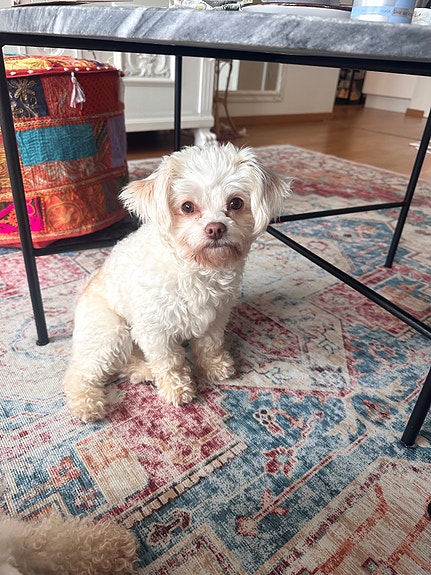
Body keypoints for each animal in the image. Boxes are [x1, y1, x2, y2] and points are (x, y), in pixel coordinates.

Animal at [63, 143, 291, 422]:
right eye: (187, 207)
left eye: (236, 203)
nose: (216, 228)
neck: (196, 270)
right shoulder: (155, 329)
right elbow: (169, 361)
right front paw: (177, 388)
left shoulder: (216, 316)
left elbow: (210, 345)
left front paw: (215, 366)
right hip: (111, 331)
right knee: (80, 371)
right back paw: (87, 404)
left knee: (125, 361)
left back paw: (144, 371)